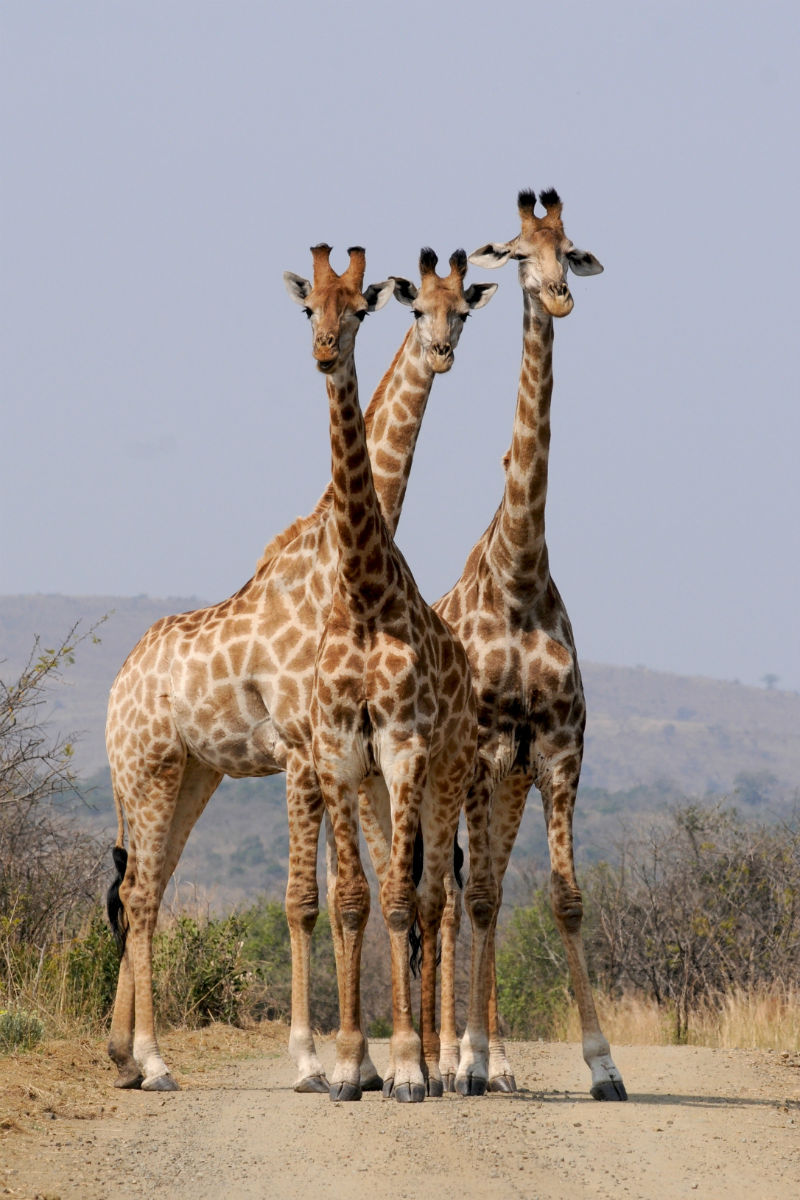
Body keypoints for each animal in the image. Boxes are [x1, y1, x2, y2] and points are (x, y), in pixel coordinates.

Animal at [102, 241, 491, 1089]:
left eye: (464, 311)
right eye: (310, 307)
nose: (442, 353)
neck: (336, 562)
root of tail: (116, 688)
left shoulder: (336, 753)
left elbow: (347, 891)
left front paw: (365, 1063)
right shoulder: (304, 749)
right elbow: (305, 900)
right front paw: (317, 1060)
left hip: (192, 773)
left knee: (149, 884)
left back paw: (122, 1052)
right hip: (146, 769)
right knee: (140, 894)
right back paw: (152, 1059)